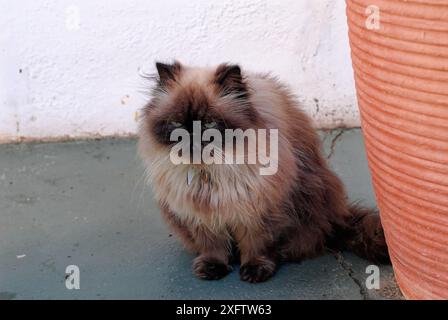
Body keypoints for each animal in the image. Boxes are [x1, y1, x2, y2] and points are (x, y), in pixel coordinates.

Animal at [138, 62, 390, 282]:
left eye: (209, 125)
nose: (189, 138)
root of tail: (337, 217)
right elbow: (213, 246)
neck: (211, 173)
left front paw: (254, 271)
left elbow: (256, 245)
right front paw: (213, 268)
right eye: (176, 125)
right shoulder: (200, 215)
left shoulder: (258, 211)